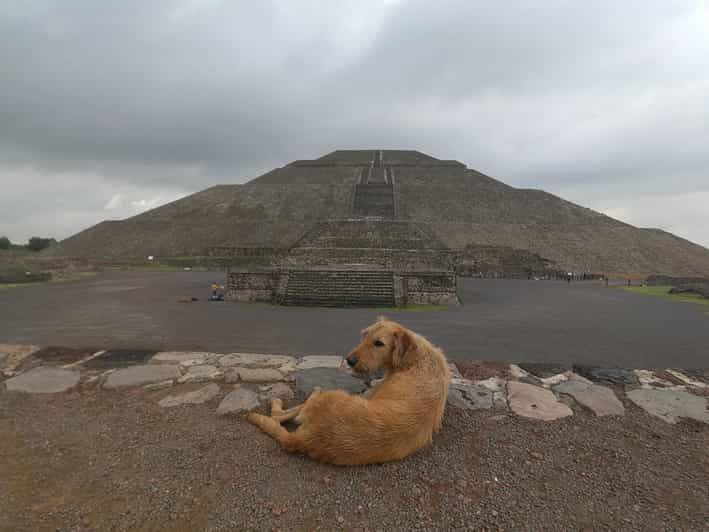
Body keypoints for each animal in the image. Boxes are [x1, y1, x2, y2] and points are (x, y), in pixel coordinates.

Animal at [248, 318, 448, 464]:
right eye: (364, 335)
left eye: (379, 343)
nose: (350, 360)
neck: (417, 357)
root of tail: (305, 439)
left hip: (329, 396)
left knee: (279, 414)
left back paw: (285, 400)